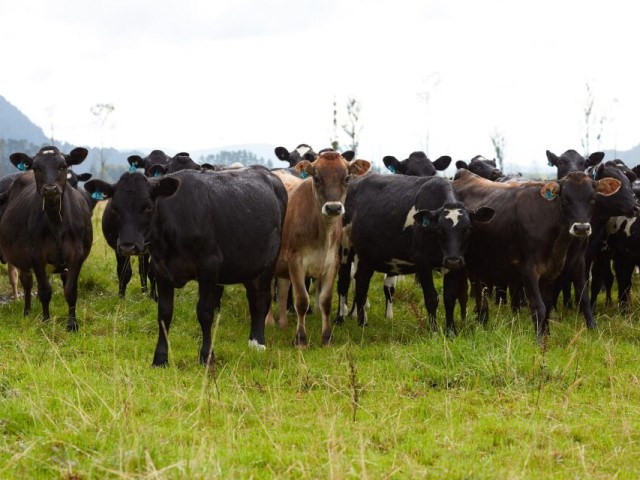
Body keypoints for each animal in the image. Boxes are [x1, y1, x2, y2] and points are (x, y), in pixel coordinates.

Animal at [0, 146, 93, 332]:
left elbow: (70, 291)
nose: (50, 189)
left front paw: (72, 324)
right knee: (27, 283)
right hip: (22, 260)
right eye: (36, 168)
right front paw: (45, 321)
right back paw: (27, 311)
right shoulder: (35, 255)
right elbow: (44, 291)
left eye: (63, 166)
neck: (57, 223)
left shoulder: (77, 255)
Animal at [84, 167, 284, 366]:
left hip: (269, 263)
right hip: (249, 266)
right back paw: (252, 341)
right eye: (115, 208)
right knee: (253, 298)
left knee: (262, 299)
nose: (127, 246)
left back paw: (259, 344)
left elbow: (205, 312)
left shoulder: (209, 266)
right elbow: (164, 313)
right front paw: (160, 358)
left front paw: (207, 356)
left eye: (148, 207)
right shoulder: (160, 269)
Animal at [266, 149, 370, 344]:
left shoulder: (333, 262)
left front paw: (327, 337)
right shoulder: (295, 261)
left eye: (347, 178)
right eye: (317, 178)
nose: (333, 208)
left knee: (282, 289)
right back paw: (268, 322)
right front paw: (300, 339)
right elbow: (301, 301)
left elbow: (326, 300)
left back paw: (283, 323)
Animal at [336, 172, 496, 334]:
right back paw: (340, 318)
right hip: (345, 247)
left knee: (361, 282)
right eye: (439, 229)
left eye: (467, 229)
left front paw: (451, 331)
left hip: (367, 255)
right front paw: (434, 331)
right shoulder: (422, 263)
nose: (453, 260)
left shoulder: (455, 266)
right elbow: (431, 298)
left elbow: (450, 297)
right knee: (344, 282)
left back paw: (362, 322)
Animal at [452, 169, 624, 338]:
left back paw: (482, 320)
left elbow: (556, 303)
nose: (581, 228)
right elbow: (538, 306)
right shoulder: (528, 269)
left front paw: (548, 334)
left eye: (593, 199)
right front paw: (539, 339)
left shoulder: (553, 270)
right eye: (565, 199)